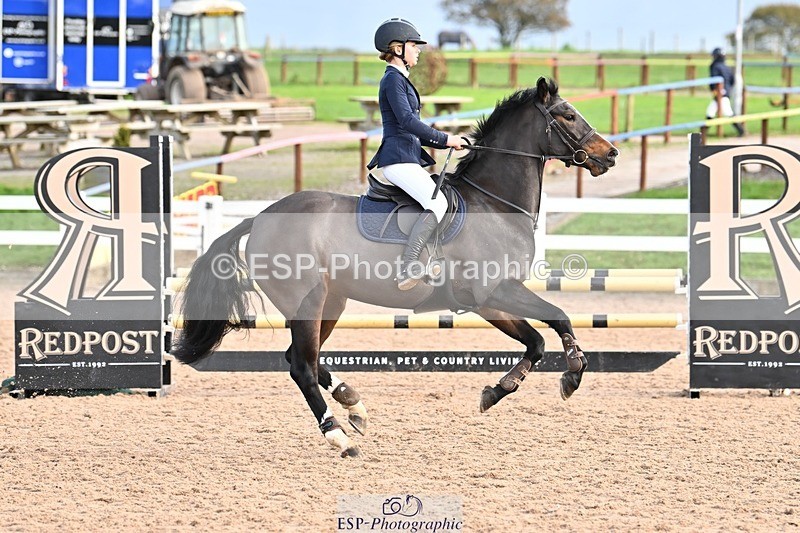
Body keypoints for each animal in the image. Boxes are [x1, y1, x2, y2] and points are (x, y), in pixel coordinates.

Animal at [172, 77, 618, 457]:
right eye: (567, 115)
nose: (610, 154)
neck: (494, 204)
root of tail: (261, 217)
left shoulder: (490, 301)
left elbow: (537, 340)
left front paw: (499, 389)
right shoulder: (496, 292)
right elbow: (557, 318)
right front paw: (572, 374)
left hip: (331, 303)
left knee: (303, 359)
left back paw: (353, 405)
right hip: (307, 302)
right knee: (300, 366)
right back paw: (338, 436)